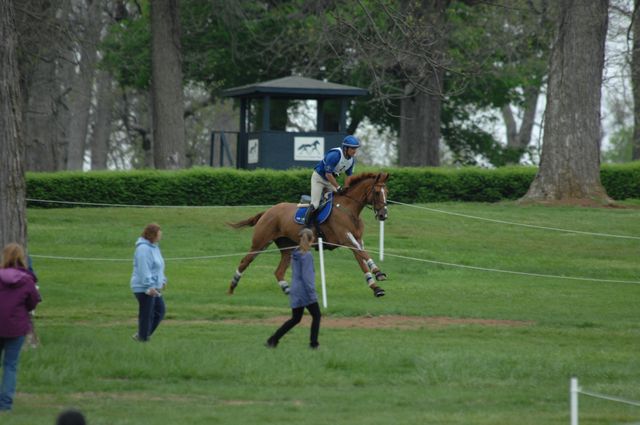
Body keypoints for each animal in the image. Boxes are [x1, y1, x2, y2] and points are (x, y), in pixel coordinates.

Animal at [230, 171, 390, 296]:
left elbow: (361, 259)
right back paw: (232, 287)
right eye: (377, 192)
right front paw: (378, 272)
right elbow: (363, 255)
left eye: (386, 193)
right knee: (245, 261)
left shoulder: (356, 240)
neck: (348, 209)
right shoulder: (346, 238)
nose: (383, 215)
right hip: (261, 242)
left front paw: (376, 288)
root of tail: (267, 211)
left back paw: (289, 291)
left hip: (288, 247)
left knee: (279, 271)